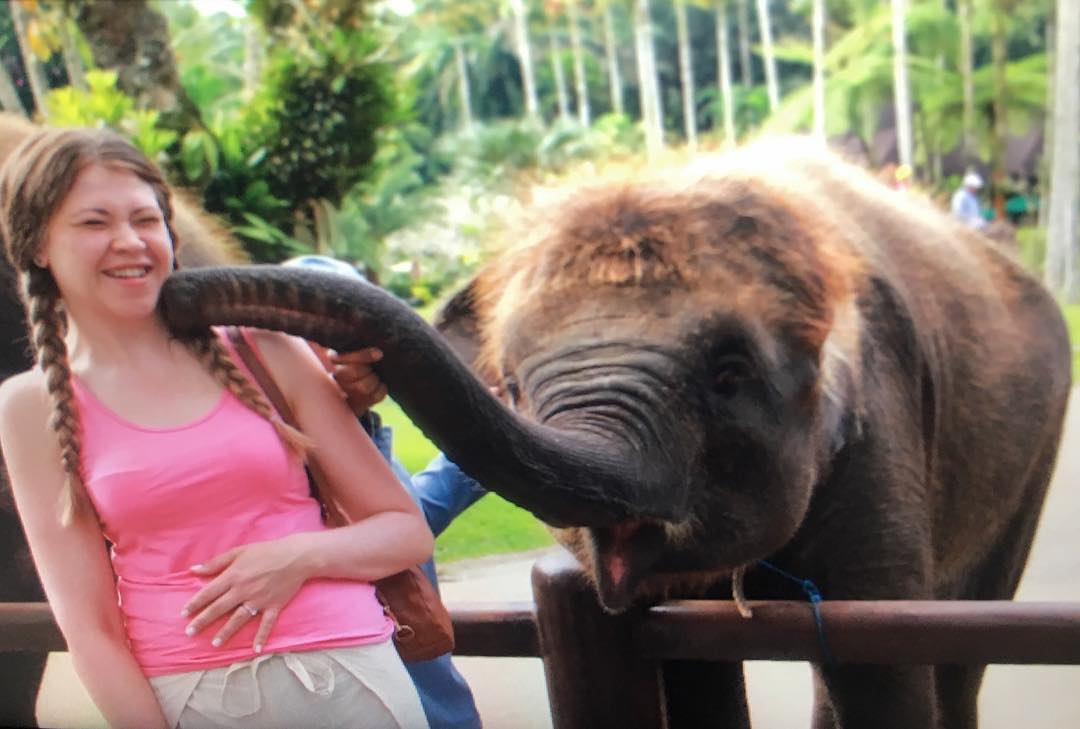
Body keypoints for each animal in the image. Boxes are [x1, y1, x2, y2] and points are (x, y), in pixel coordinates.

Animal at [159, 138, 1071, 729]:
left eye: (729, 372)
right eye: (512, 384)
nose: (175, 293)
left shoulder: (883, 425)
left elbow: (880, 667)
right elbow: (692, 666)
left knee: (962, 638)